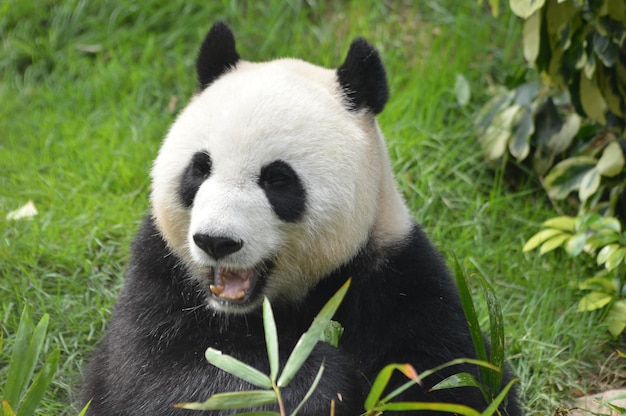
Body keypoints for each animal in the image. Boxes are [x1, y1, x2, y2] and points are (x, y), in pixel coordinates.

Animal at [83, 23, 520, 416]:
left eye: (277, 180)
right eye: (200, 168)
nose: (216, 242)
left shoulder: (397, 273)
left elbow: (453, 380)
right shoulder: (161, 276)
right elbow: (165, 378)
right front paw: (311, 382)